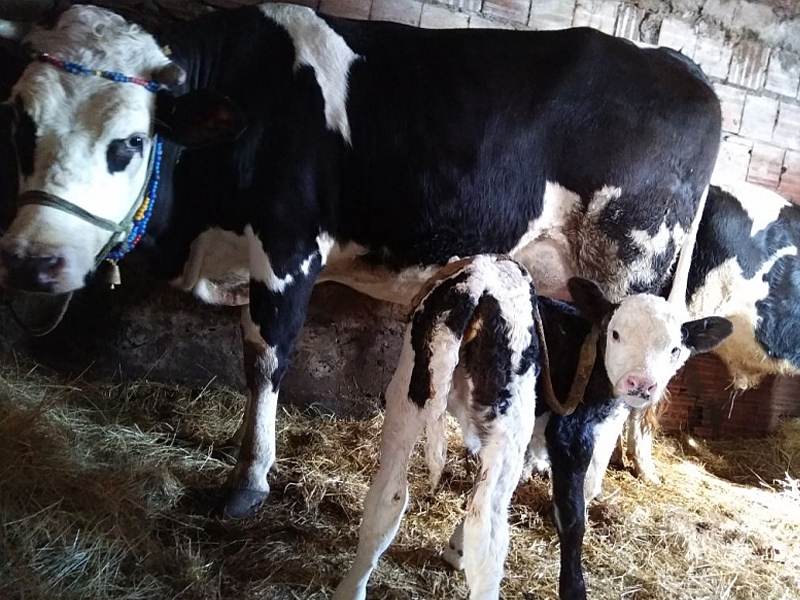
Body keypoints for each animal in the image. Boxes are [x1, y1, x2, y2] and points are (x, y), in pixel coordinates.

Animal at [0, 3, 721, 518]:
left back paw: (580, 494)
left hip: (631, 263)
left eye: (129, 141)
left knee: (616, 388)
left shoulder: (289, 251)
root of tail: (680, 65)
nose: (33, 261)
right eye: (23, 125)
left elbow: (265, 361)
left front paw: (248, 482)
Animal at [335, 255, 732, 600]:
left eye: (675, 349)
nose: (641, 384)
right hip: (508, 420)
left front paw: (454, 549)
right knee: (488, 531)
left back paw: (351, 589)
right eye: (616, 333)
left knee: (389, 495)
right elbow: (573, 513)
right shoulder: (570, 432)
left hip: (411, 391)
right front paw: (573, 588)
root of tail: (482, 284)